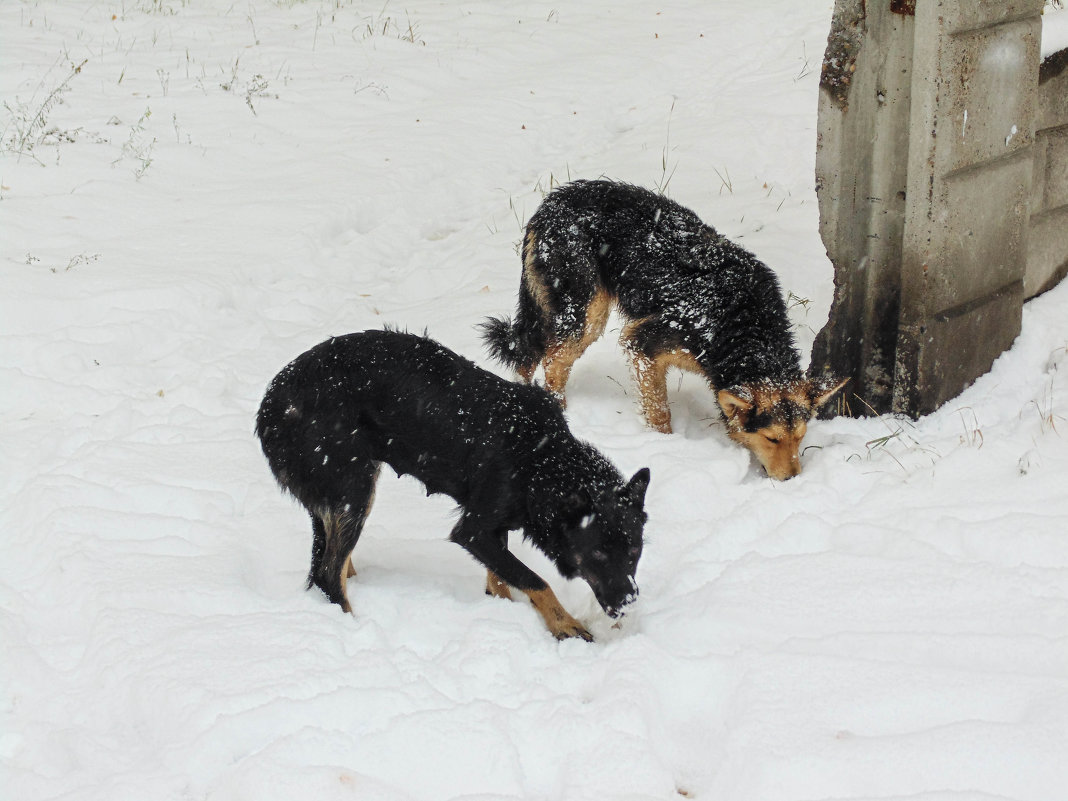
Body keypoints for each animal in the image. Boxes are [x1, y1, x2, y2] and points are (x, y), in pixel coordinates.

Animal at [256, 328, 649, 645]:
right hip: (354, 490)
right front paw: (564, 625)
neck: (540, 459)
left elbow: (502, 580)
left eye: (633, 551)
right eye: (598, 554)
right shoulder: (472, 530)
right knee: (328, 574)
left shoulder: (495, 529)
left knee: (333, 563)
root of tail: (269, 406)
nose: (629, 602)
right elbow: (536, 580)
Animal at [480, 181, 845, 480]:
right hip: (586, 315)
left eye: (800, 437)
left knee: (529, 358)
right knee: (552, 362)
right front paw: (668, 448)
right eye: (772, 438)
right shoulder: (642, 344)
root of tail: (552, 201)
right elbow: (659, 412)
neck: (743, 325)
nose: (793, 480)